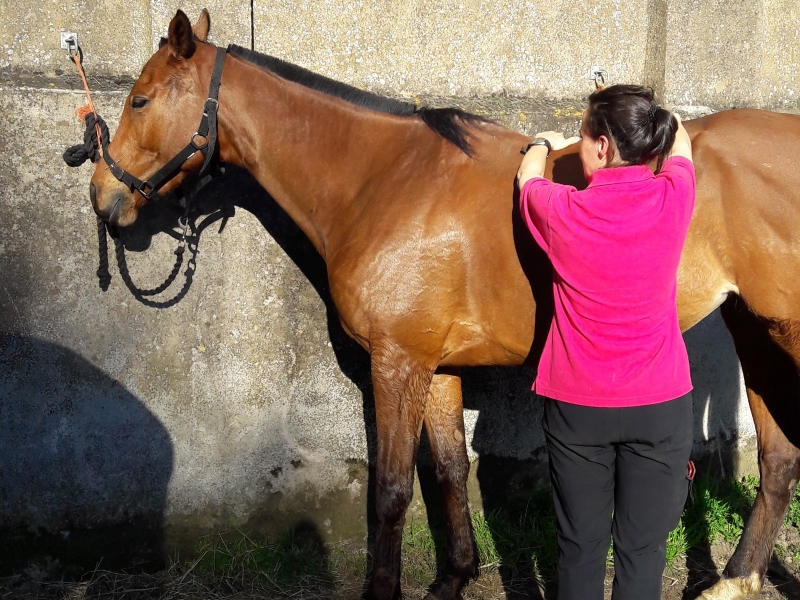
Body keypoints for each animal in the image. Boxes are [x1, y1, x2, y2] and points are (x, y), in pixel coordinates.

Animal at [88, 9, 800, 600]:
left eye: (140, 99)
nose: (102, 195)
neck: (385, 178)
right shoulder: (436, 367)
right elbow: (453, 470)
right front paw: (453, 577)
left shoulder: (397, 361)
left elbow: (392, 491)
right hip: (754, 328)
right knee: (779, 456)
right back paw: (737, 580)